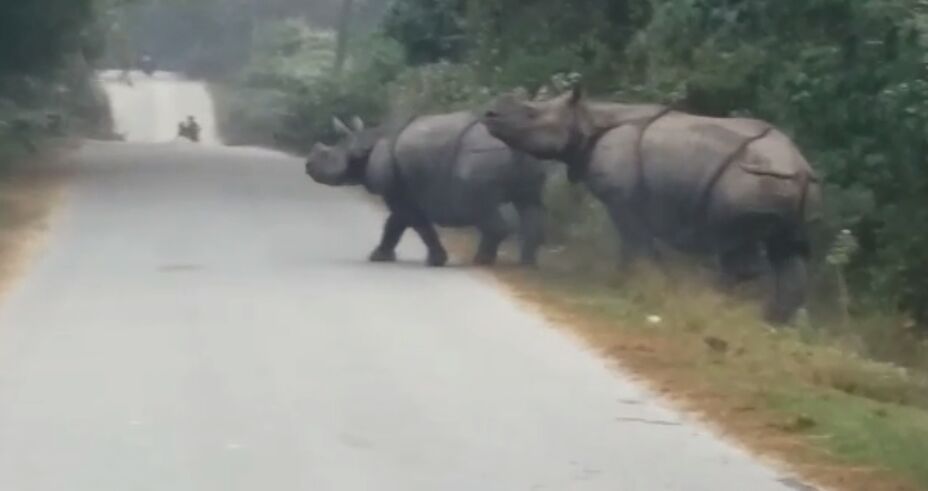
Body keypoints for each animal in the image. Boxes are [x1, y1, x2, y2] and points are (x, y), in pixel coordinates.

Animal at [305, 112, 548, 267]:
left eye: (329, 157)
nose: (308, 165)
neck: (369, 142)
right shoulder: (402, 192)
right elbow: (394, 225)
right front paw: (379, 257)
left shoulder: (401, 192)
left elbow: (417, 225)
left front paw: (436, 261)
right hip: (529, 157)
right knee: (530, 203)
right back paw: (528, 264)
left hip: (479, 160)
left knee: (478, 208)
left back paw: (482, 261)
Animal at [482, 86, 822, 324]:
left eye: (530, 114)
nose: (490, 114)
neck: (588, 119)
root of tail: (800, 167)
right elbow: (633, 242)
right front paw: (633, 282)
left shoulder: (623, 199)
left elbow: (634, 240)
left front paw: (637, 283)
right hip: (785, 182)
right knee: (787, 250)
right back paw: (774, 322)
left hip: (749, 177)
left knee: (733, 243)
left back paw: (717, 304)